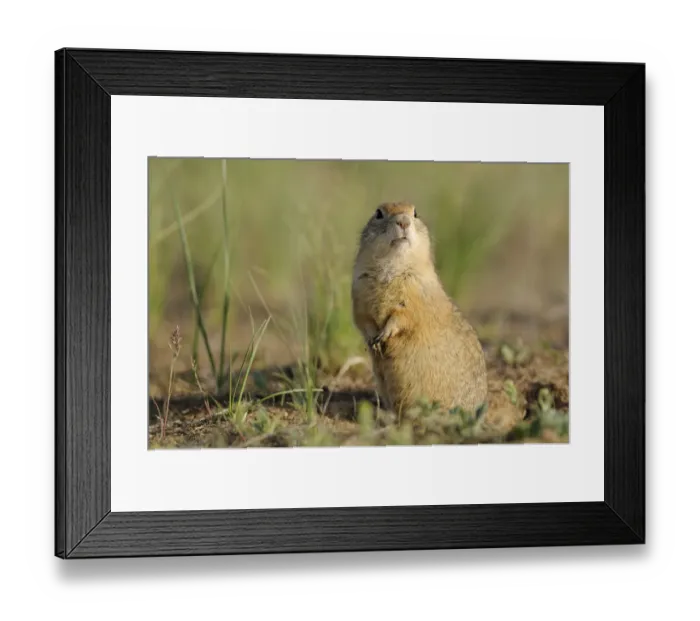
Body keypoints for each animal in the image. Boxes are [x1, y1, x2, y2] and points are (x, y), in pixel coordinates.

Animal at [351, 201, 495, 422]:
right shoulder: (359, 291)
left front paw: (384, 335)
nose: (403, 222)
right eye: (378, 213)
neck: (393, 265)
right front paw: (373, 341)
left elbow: (403, 316)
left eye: (415, 213)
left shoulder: (415, 291)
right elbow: (363, 319)